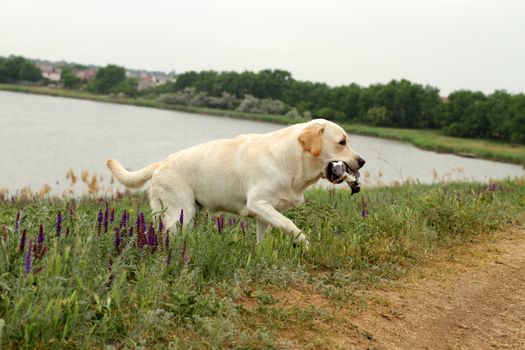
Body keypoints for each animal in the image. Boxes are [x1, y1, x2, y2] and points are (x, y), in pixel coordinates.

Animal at [106, 119, 364, 249]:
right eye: (342, 142)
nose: (362, 161)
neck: (290, 160)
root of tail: (160, 164)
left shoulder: (265, 213)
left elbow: (263, 240)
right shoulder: (258, 204)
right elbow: (292, 226)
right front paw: (305, 244)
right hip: (181, 213)